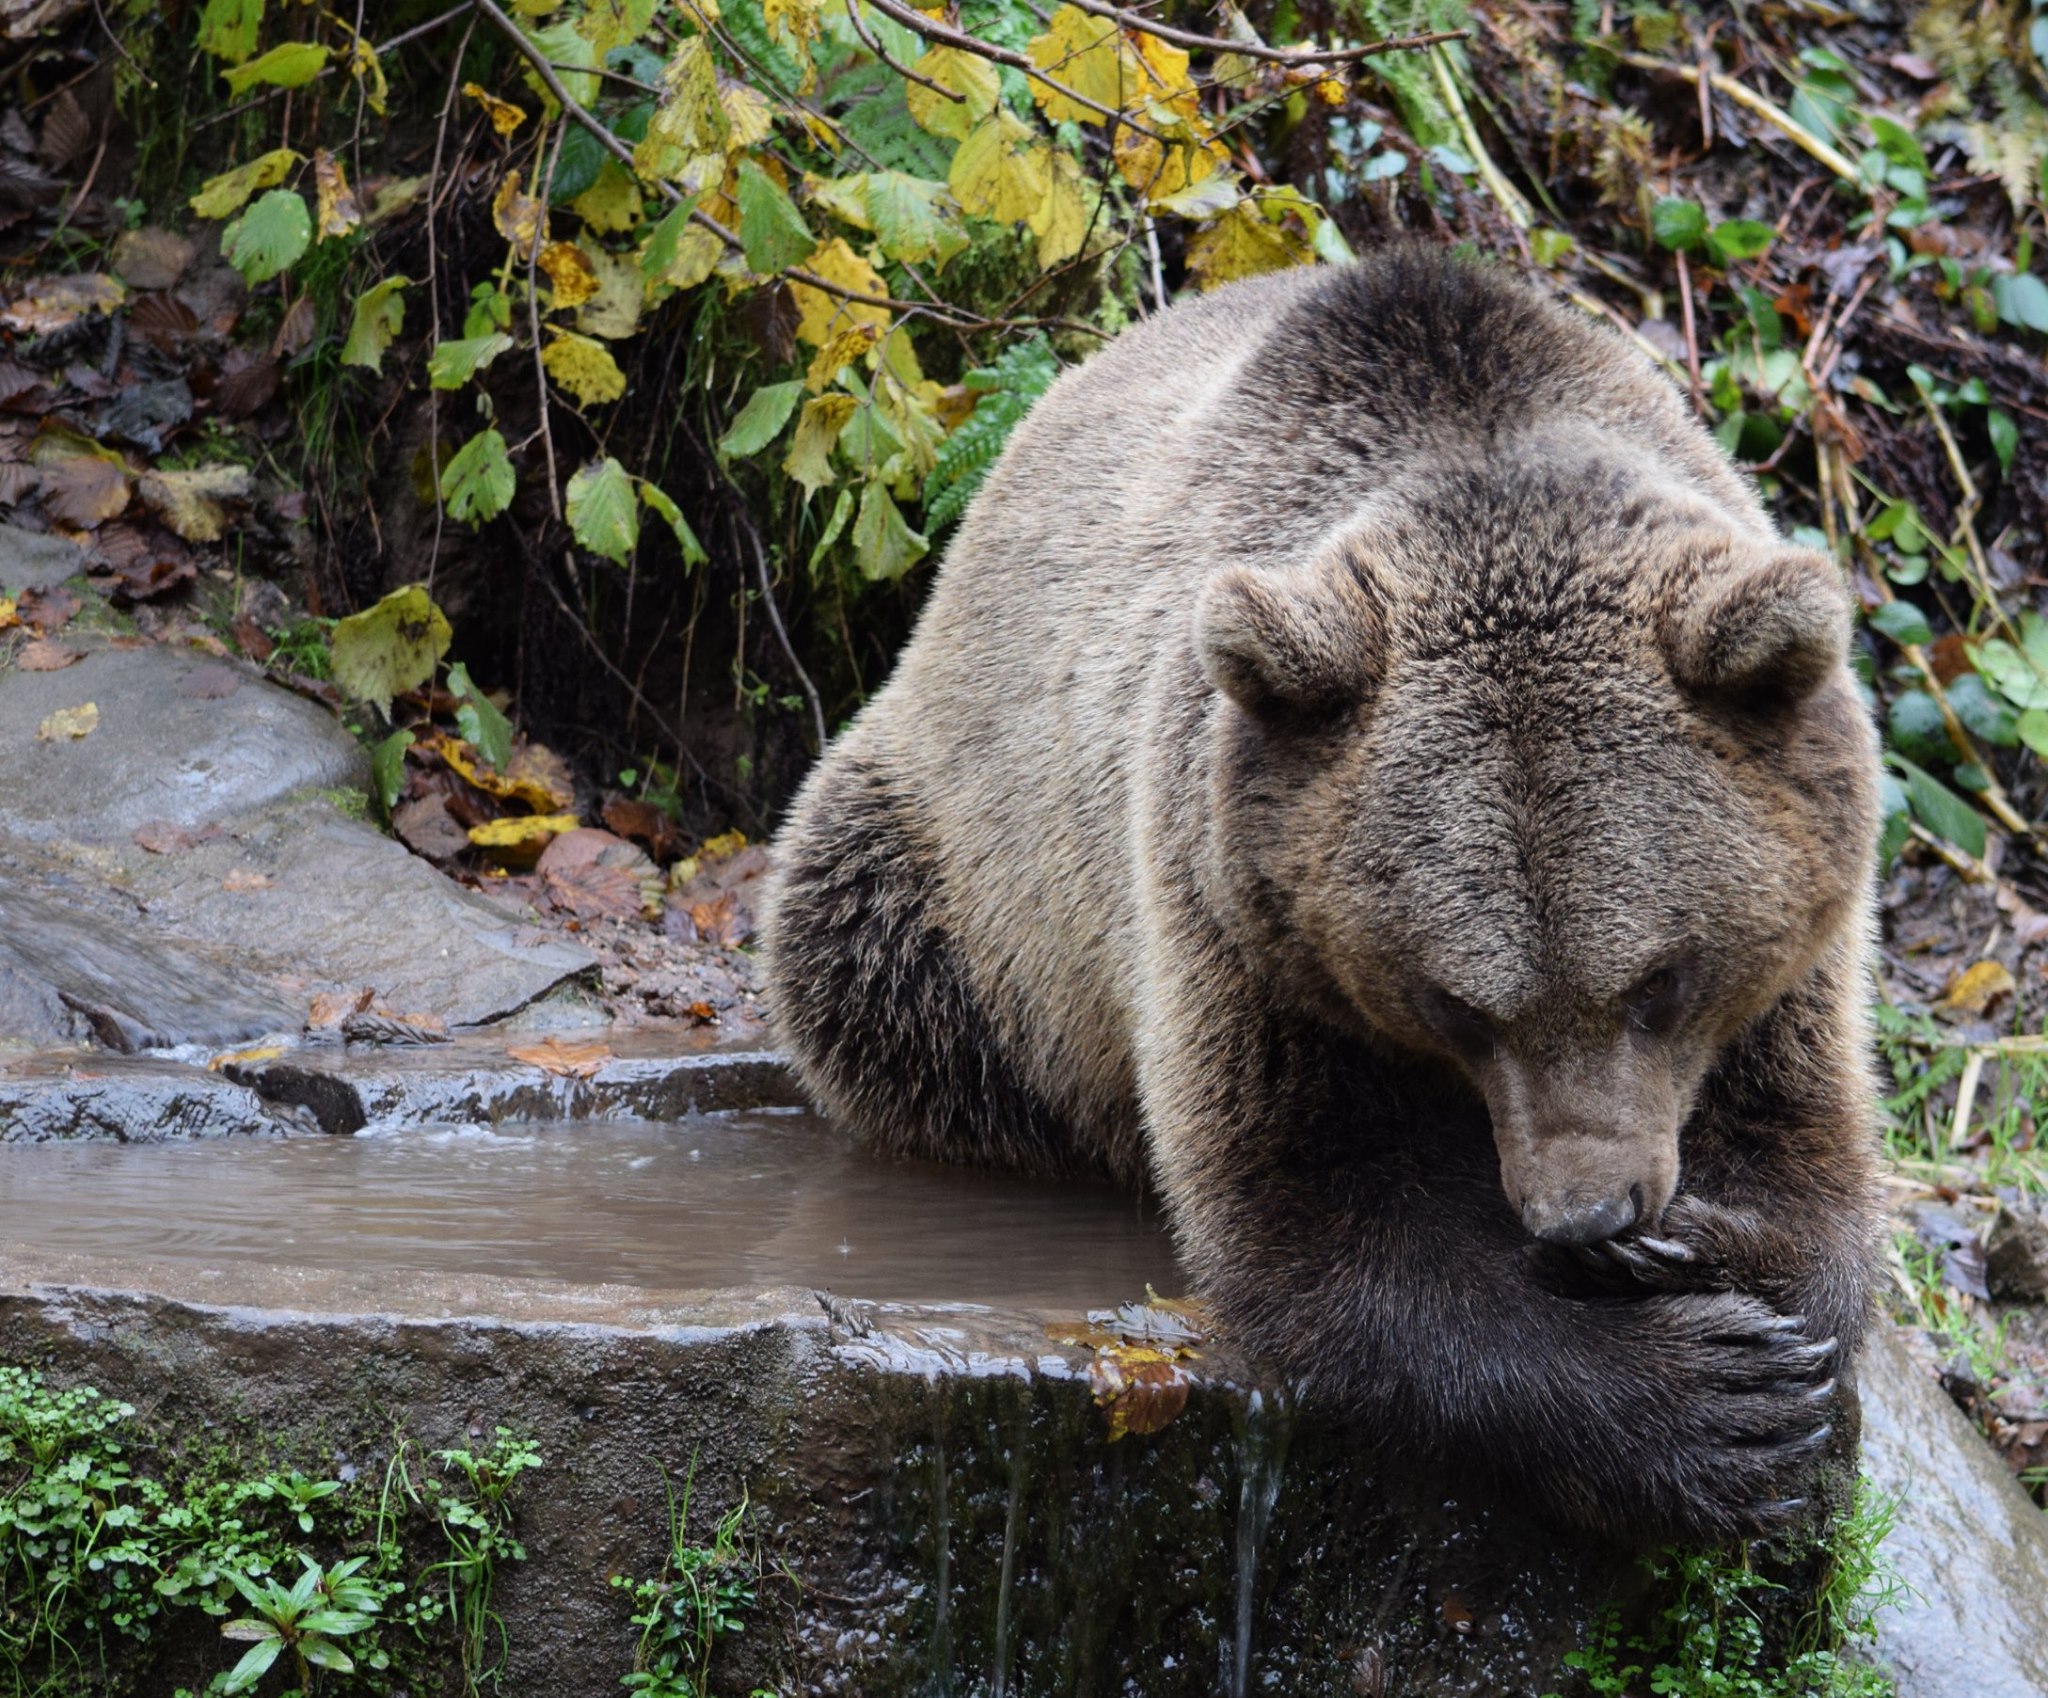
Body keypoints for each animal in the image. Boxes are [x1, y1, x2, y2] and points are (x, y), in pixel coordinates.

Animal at [762, 246, 1883, 1543]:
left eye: (1660, 979)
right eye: (1457, 1005)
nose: (1584, 1215)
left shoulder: (1800, 953)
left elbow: (1813, 1168)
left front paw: (1714, 1252)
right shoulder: (1228, 917)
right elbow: (1317, 1226)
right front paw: (1703, 1402)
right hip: (960, 874)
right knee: (869, 961)